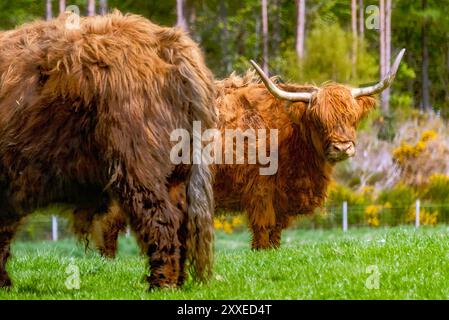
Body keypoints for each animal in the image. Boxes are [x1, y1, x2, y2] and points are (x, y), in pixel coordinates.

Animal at [0, 11, 217, 288]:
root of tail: (166, 42)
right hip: (178, 169)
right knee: (180, 222)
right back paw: (176, 282)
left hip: (137, 161)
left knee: (162, 219)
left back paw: (160, 284)